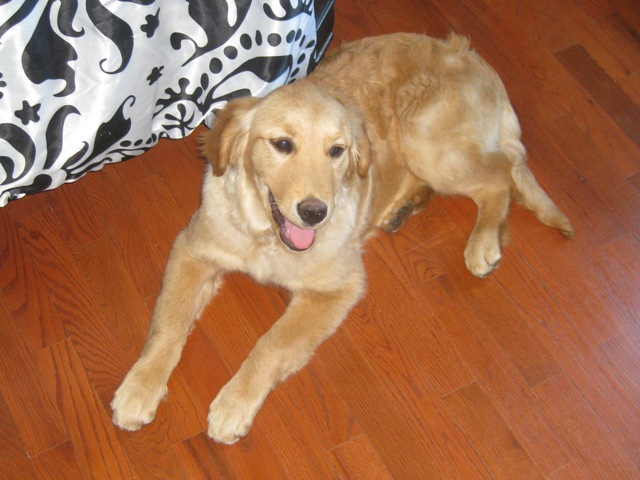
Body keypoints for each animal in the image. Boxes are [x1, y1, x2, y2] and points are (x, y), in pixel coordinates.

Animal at [111, 33, 574, 444]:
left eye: (337, 151)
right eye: (282, 144)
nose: (316, 213)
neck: (266, 238)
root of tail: (469, 54)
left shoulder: (336, 288)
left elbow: (270, 344)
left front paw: (233, 403)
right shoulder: (193, 249)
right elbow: (168, 324)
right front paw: (139, 387)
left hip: (427, 140)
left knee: (501, 175)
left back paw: (484, 242)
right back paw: (405, 208)